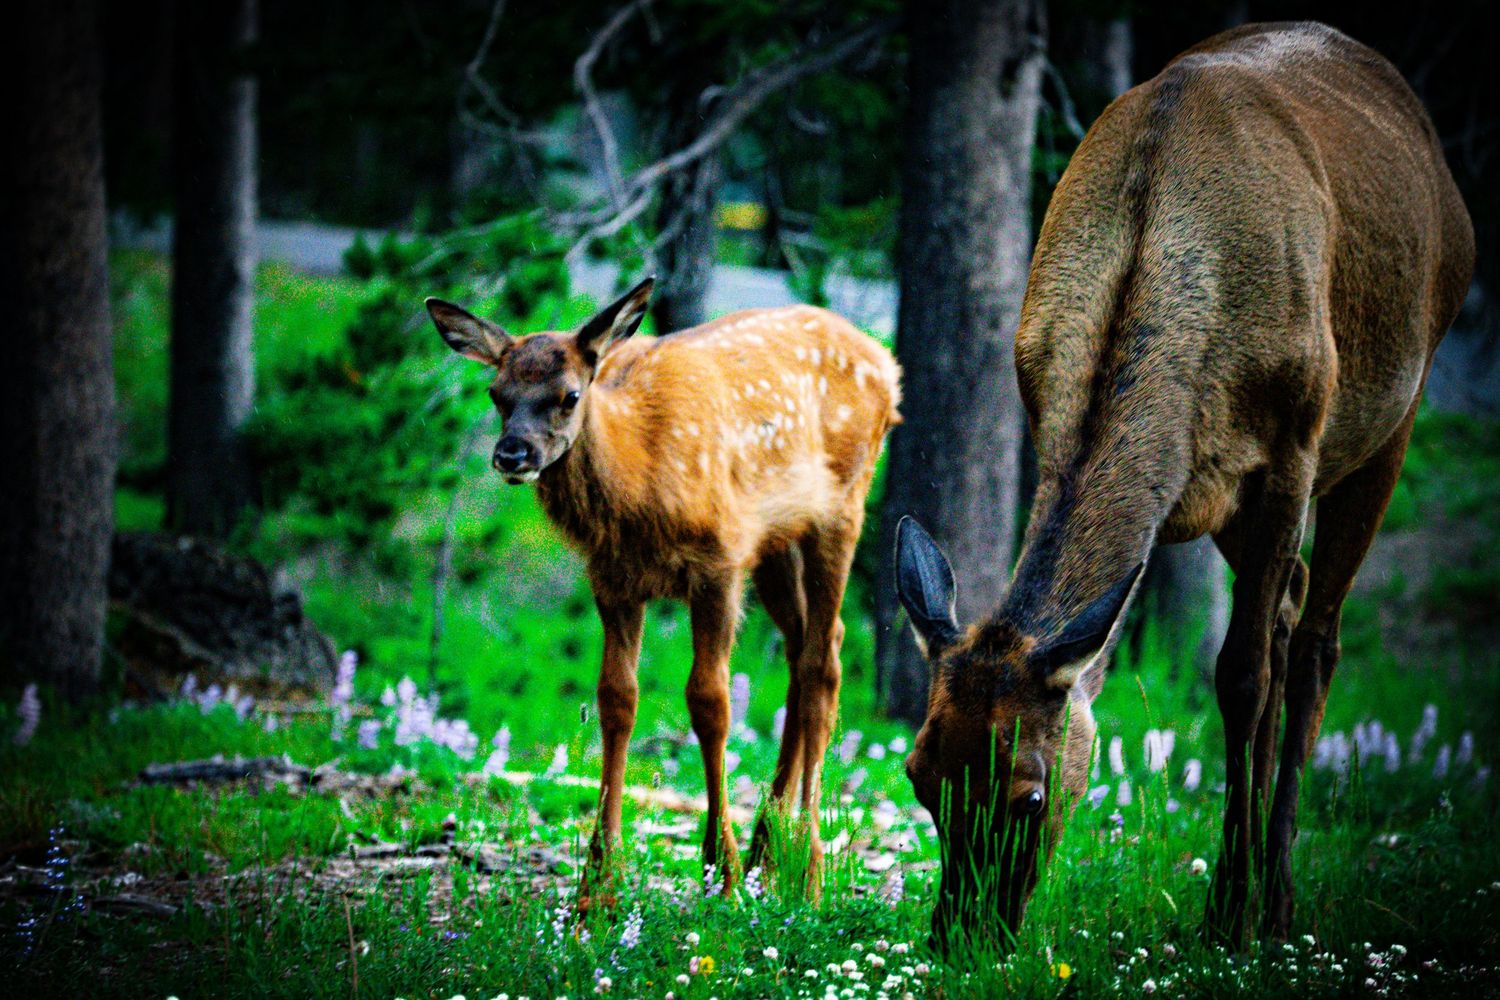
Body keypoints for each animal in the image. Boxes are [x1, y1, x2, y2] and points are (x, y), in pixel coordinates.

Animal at [425, 277, 901, 902]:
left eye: (569, 395)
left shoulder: (719, 562)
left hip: (843, 505)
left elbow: (710, 702)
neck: (640, 479)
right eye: (496, 393)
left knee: (825, 661)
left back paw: (807, 867)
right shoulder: (614, 580)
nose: (512, 454)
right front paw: (597, 885)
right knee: (806, 650)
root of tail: (886, 363)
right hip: (776, 541)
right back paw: (767, 849)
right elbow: (616, 700)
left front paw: (718, 869)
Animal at [894, 21, 1473, 951]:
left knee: (1313, 642)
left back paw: (1273, 896)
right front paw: (1231, 898)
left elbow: (1240, 676)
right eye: (919, 774)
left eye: (1030, 795)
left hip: (1394, 413)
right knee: (1290, 606)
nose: (960, 937)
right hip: (1237, 509)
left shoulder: (1293, 448)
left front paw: (1230, 916)